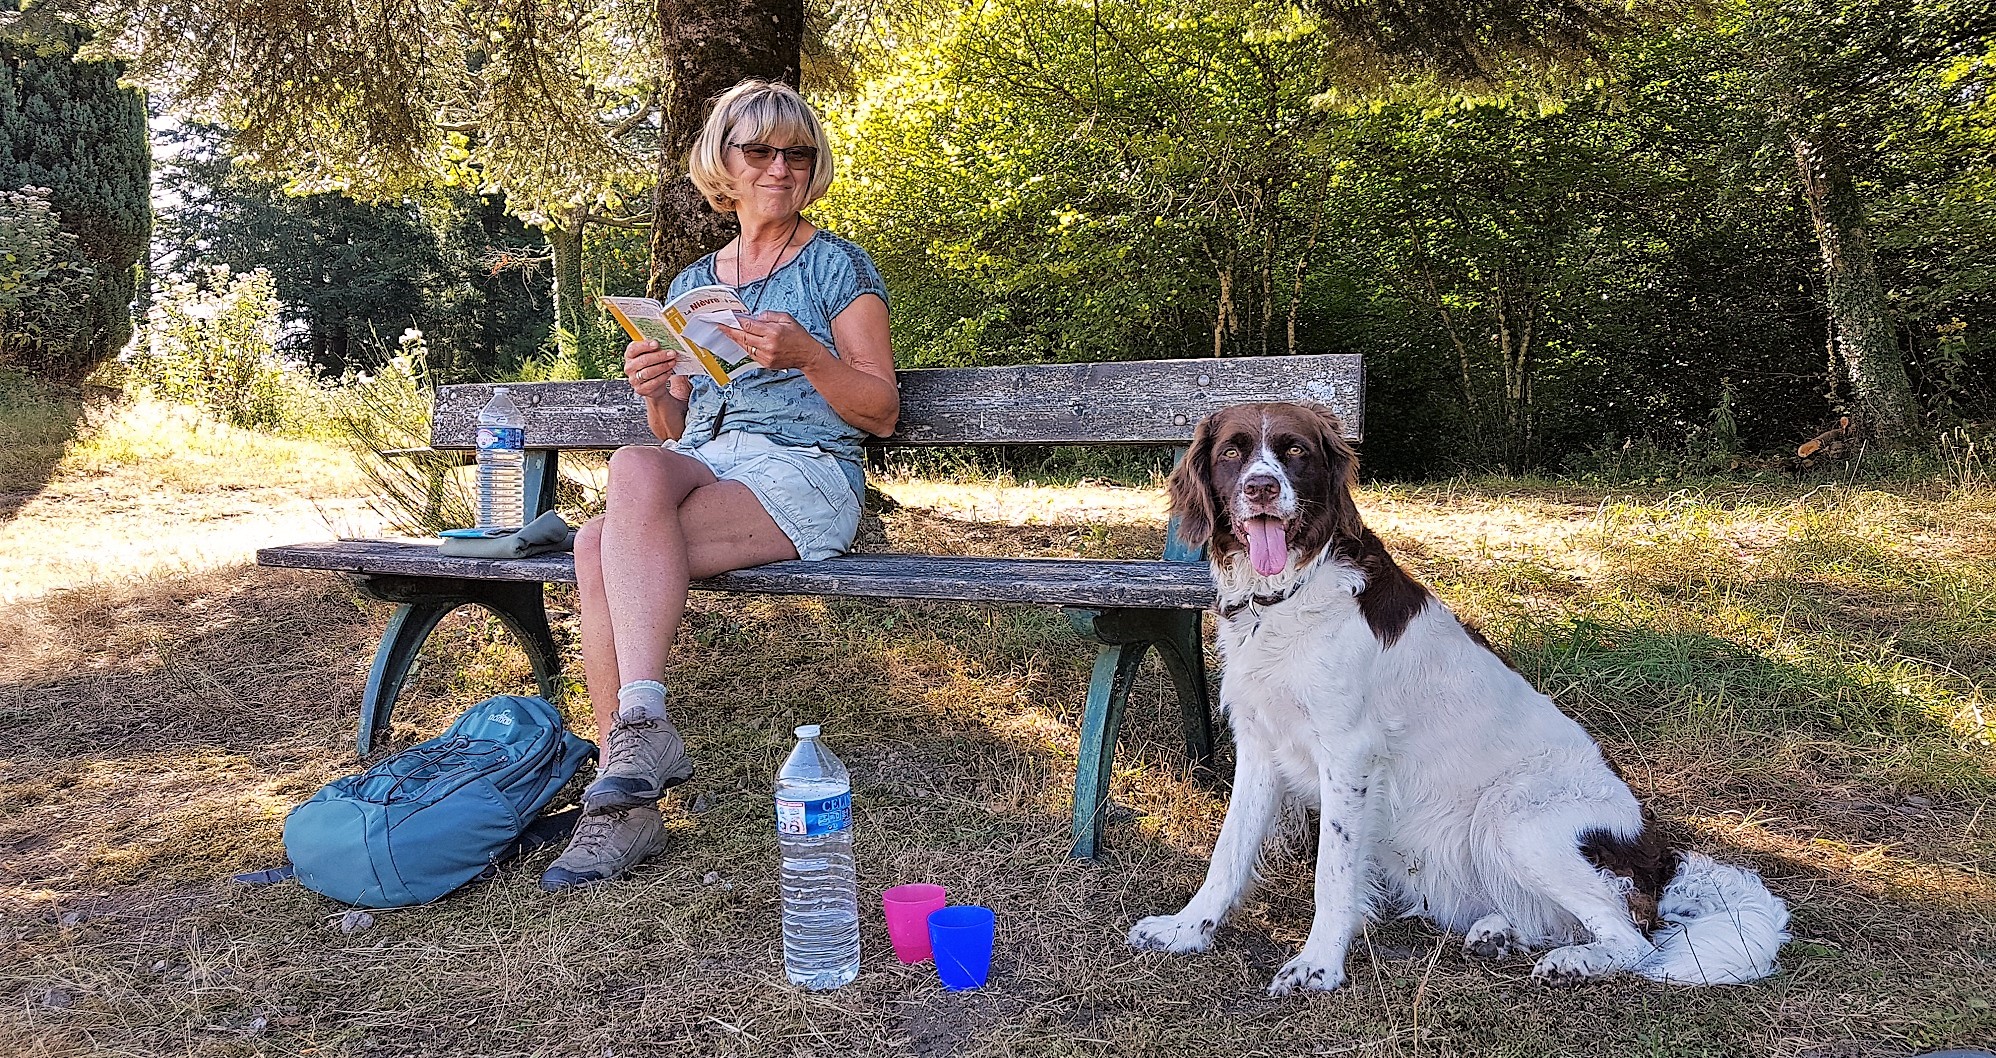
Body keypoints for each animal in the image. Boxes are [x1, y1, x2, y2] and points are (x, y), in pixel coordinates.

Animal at [1125, 399, 1796, 994]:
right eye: (1233, 453)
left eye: (1294, 451)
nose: (1262, 488)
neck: (1287, 595)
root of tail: (1660, 855)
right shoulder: (1262, 746)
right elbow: (1228, 852)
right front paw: (1187, 929)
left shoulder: (1348, 756)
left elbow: (1332, 874)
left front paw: (1319, 966)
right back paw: (1500, 933)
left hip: (1514, 816)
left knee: (1634, 941)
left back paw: (1574, 963)